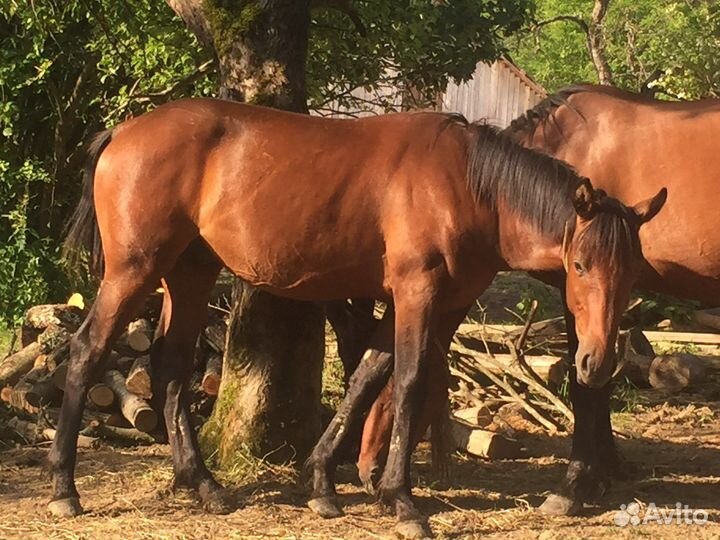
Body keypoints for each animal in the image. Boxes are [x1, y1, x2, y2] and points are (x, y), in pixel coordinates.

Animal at [51, 97, 664, 539]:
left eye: (633, 271)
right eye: (580, 265)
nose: (596, 362)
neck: (470, 185)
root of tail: (123, 131)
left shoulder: (434, 301)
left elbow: (368, 376)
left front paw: (323, 482)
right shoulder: (418, 292)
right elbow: (410, 380)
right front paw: (402, 500)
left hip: (189, 274)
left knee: (173, 367)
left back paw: (203, 484)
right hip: (132, 271)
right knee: (86, 353)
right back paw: (64, 489)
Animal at [357, 84, 716, 520]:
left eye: (389, 382)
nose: (367, 469)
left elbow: (585, 387)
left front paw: (574, 486)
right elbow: (594, 382)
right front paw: (605, 471)